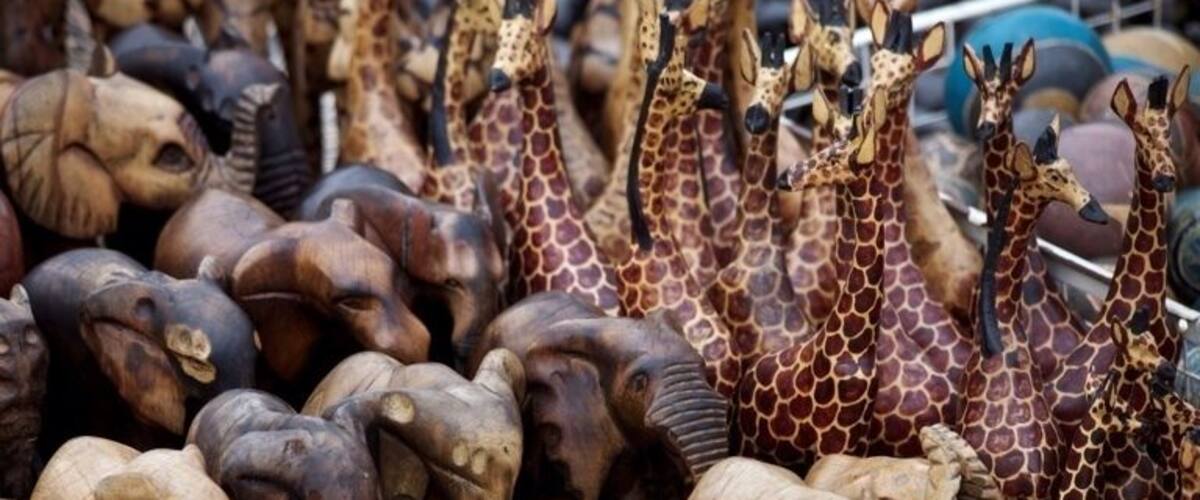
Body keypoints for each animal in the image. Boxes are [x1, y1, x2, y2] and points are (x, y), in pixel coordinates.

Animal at [736, 89, 886, 470]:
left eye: (834, 157)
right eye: (828, 145)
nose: (785, 178)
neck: (856, 349)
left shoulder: (854, 441)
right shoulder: (828, 439)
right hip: (750, 439)